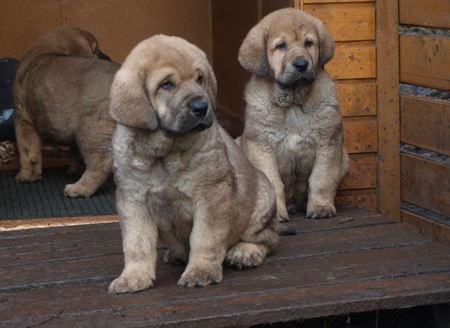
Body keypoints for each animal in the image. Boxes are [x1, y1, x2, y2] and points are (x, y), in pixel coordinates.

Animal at [12, 25, 119, 197]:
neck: (45, 51)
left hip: (91, 129)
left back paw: (79, 189)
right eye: (96, 50)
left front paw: (26, 176)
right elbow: (74, 152)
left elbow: (28, 153)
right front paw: (75, 168)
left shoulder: (23, 120)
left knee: (100, 162)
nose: (108, 57)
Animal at [108, 35, 284, 292]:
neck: (165, 154)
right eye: (166, 84)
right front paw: (133, 276)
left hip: (263, 197)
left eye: (200, 79)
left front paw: (201, 271)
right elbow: (136, 244)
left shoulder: (211, 196)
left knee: (268, 239)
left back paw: (245, 253)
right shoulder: (133, 200)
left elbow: (204, 237)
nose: (202, 107)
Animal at [237, 9, 350, 222]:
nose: (301, 64)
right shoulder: (261, 147)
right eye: (281, 46)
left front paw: (321, 206)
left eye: (308, 43)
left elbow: (321, 178)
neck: (292, 105)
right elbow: (273, 183)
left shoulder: (329, 142)